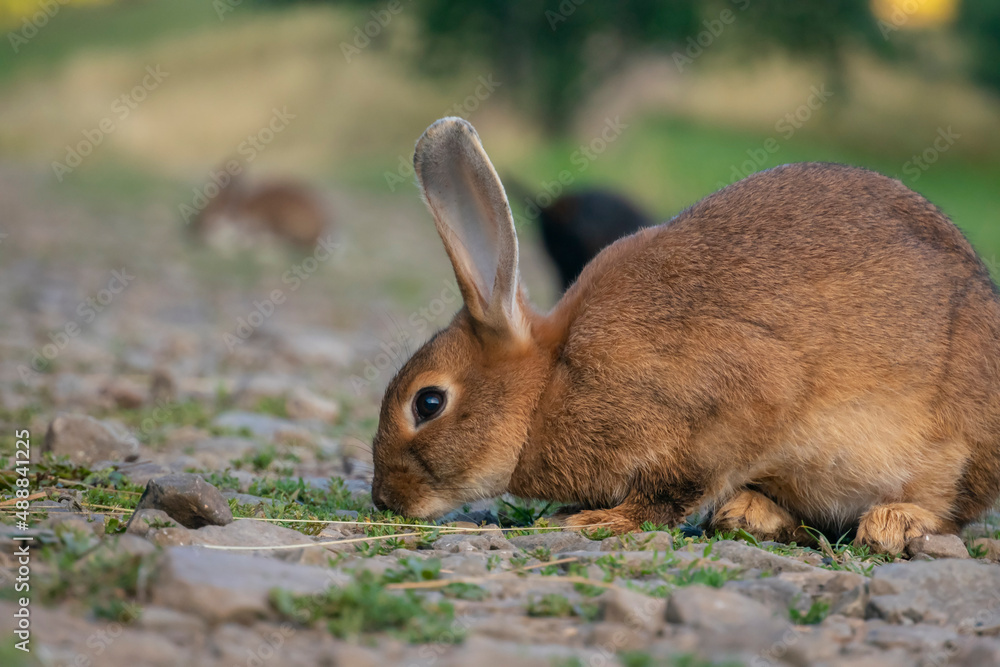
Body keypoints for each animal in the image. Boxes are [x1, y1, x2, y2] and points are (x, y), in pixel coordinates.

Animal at [371, 117, 1000, 554]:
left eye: (428, 403)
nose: (383, 498)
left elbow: (675, 486)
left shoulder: (735, 399)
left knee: (954, 509)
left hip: (958, 443)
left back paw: (894, 524)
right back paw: (749, 514)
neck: (550, 381)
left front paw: (599, 520)